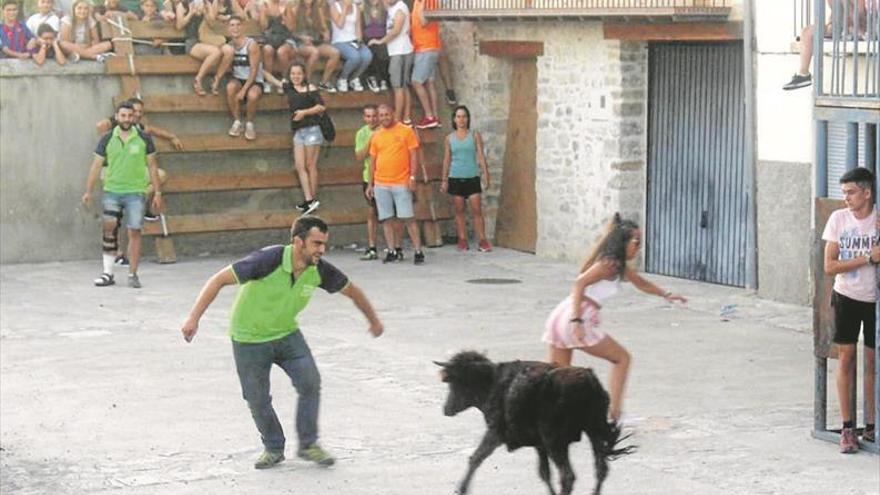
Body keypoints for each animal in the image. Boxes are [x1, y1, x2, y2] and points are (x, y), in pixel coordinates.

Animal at [434, 352, 632, 495]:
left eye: (453, 383)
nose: (446, 409)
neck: (492, 383)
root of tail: (588, 381)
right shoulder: (539, 445)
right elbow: (544, 474)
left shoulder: (495, 432)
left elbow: (476, 458)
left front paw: (461, 489)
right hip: (593, 430)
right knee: (600, 469)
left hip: (556, 442)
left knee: (568, 476)